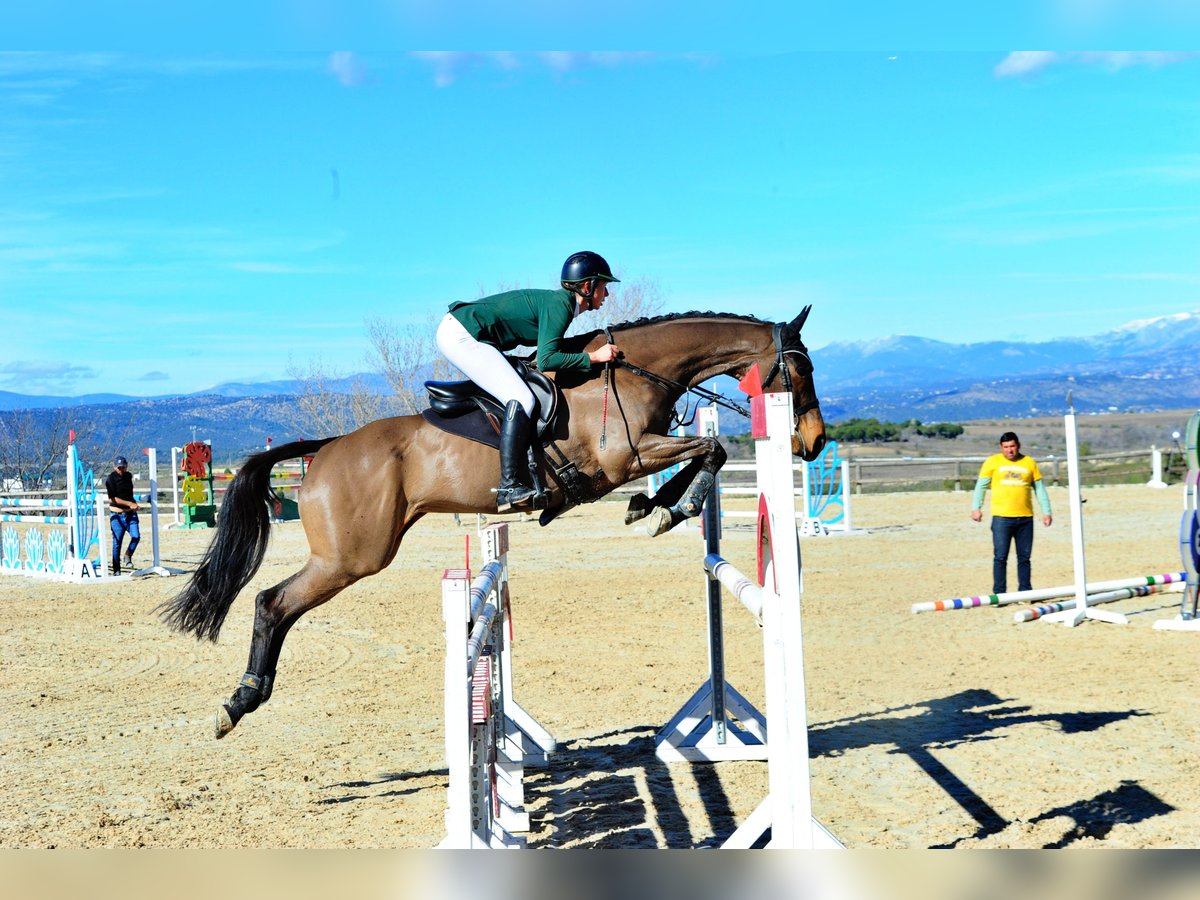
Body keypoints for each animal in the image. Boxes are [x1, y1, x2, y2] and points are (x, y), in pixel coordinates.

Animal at [157, 309, 825, 739]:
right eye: (802, 369)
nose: (814, 443)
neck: (635, 370)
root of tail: (327, 448)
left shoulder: (635, 456)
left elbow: (703, 453)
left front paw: (653, 507)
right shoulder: (622, 458)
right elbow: (707, 451)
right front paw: (665, 509)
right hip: (351, 557)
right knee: (272, 602)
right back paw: (239, 702)